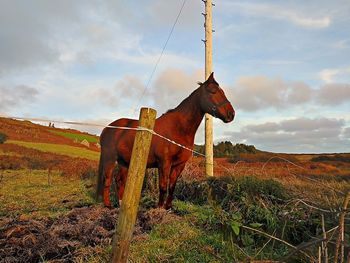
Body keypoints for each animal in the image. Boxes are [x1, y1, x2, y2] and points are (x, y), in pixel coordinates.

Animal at [95, 72, 235, 210]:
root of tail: (107, 128)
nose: (231, 114)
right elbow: (162, 186)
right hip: (110, 158)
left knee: (119, 180)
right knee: (107, 179)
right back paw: (108, 205)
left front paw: (168, 207)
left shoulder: (179, 165)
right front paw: (159, 208)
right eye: (213, 91)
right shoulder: (164, 163)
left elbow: (172, 186)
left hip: (124, 162)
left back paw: (121, 204)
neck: (178, 128)